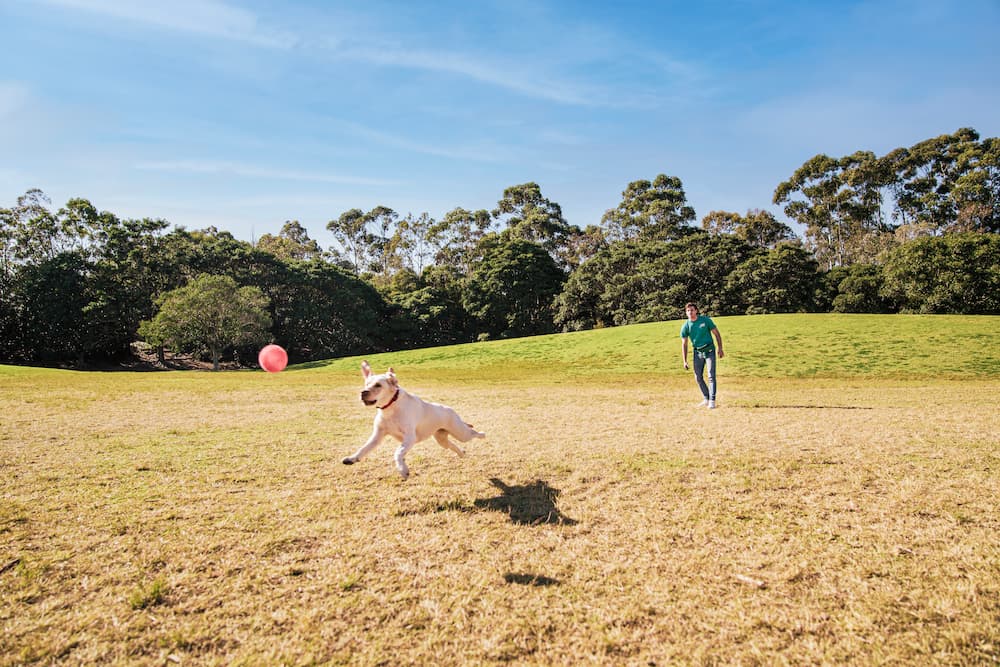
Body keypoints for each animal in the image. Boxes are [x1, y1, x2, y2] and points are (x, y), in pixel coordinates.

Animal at [342, 360, 486, 480]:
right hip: (441, 439)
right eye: (366, 384)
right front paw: (352, 458)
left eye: (378, 385)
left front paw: (402, 470)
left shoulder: (410, 437)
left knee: (472, 432)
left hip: (460, 433)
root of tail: (450, 409)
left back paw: (482, 434)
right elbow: (364, 448)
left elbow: (397, 453)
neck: (391, 408)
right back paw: (461, 453)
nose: (363, 392)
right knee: (452, 445)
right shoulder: (377, 436)